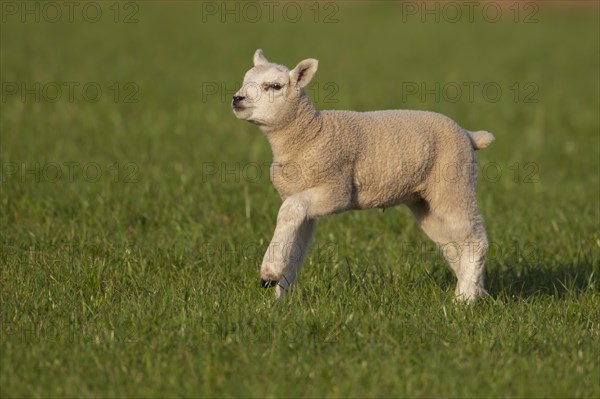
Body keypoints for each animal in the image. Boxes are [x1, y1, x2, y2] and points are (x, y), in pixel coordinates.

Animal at [232, 49, 494, 300]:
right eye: (245, 81)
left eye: (275, 86)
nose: (237, 99)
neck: (310, 135)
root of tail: (469, 135)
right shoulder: (302, 201)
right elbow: (295, 246)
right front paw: (279, 300)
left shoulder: (336, 189)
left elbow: (288, 211)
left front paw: (268, 274)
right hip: (425, 201)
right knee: (452, 246)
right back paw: (474, 292)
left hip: (455, 182)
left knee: (474, 241)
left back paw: (463, 301)